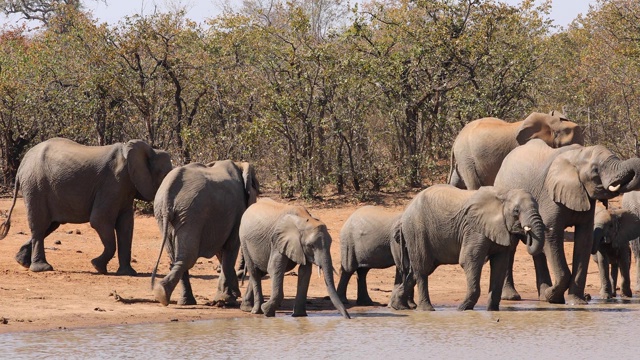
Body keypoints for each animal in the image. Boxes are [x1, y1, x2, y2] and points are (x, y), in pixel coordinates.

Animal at [0, 136, 172, 274]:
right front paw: (98, 267)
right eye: (164, 175)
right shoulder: (113, 183)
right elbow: (100, 220)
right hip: (35, 186)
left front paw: (128, 273)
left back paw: (21, 261)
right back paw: (42, 268)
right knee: (40, 225)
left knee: (50, 225)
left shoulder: (125, 188)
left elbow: (126, 226)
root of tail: (22, 164)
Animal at [388, 184, 544, 310]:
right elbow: (470, 260)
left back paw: (398, 306)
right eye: (516, 211)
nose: (526, 233)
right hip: (416, 230)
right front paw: (463, 309)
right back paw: (427, 310)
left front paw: (492, 311)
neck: (503, 194)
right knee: (422, 269)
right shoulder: (474, 229)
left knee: (416, 271)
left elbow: (500, 264)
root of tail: (407, 208)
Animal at [498, 139, 640, 306]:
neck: (578, 155)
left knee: (538, 251)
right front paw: (553, 296)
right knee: (512, 246)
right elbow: (552, 236)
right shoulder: (550, 196)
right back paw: (512, 297)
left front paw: (576, 302)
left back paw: (543, 296)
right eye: (595, 170)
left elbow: (584, 240)